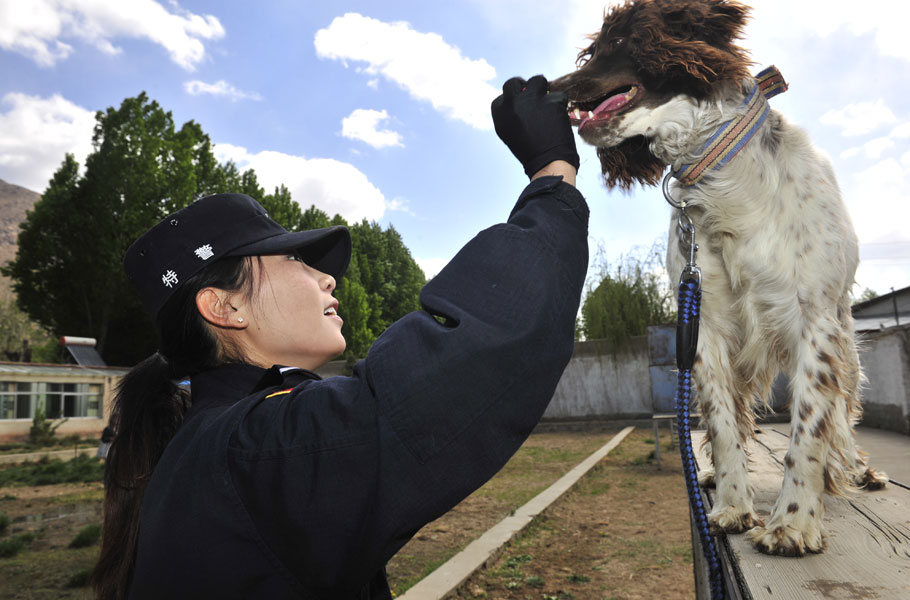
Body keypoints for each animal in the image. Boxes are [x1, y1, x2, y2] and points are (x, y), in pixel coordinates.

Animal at [552, 0, 888, 556]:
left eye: (617, 44)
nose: (549, 89)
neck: (719, 176)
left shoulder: (813, 318)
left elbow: (809, 425)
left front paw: (793, 521)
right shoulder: (703, 322)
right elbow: (724, 423)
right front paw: (732, 504)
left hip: (846, 338)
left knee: (841, 417)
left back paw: (857, 471)